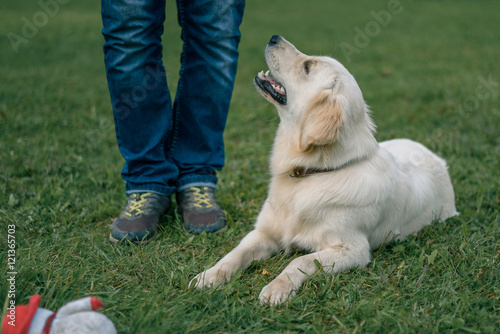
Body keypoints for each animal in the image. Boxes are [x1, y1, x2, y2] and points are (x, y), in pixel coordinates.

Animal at [191, 35, 458, 304]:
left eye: (307, 66)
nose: (274, 37)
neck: (310, 173)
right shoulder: (263, 232)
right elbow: (235, 253)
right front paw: (209, 275)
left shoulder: (353, 249)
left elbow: (301, 261)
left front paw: (278, 287)